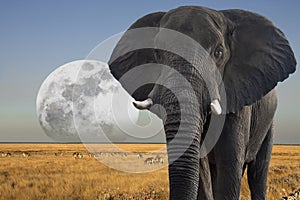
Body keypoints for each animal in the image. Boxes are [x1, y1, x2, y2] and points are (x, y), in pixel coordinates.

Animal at [106, 5, 296, 199]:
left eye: (218, 52)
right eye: (157, 52)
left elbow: (230, 161)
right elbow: (201, 164)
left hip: (268, 125)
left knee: (257, 173)